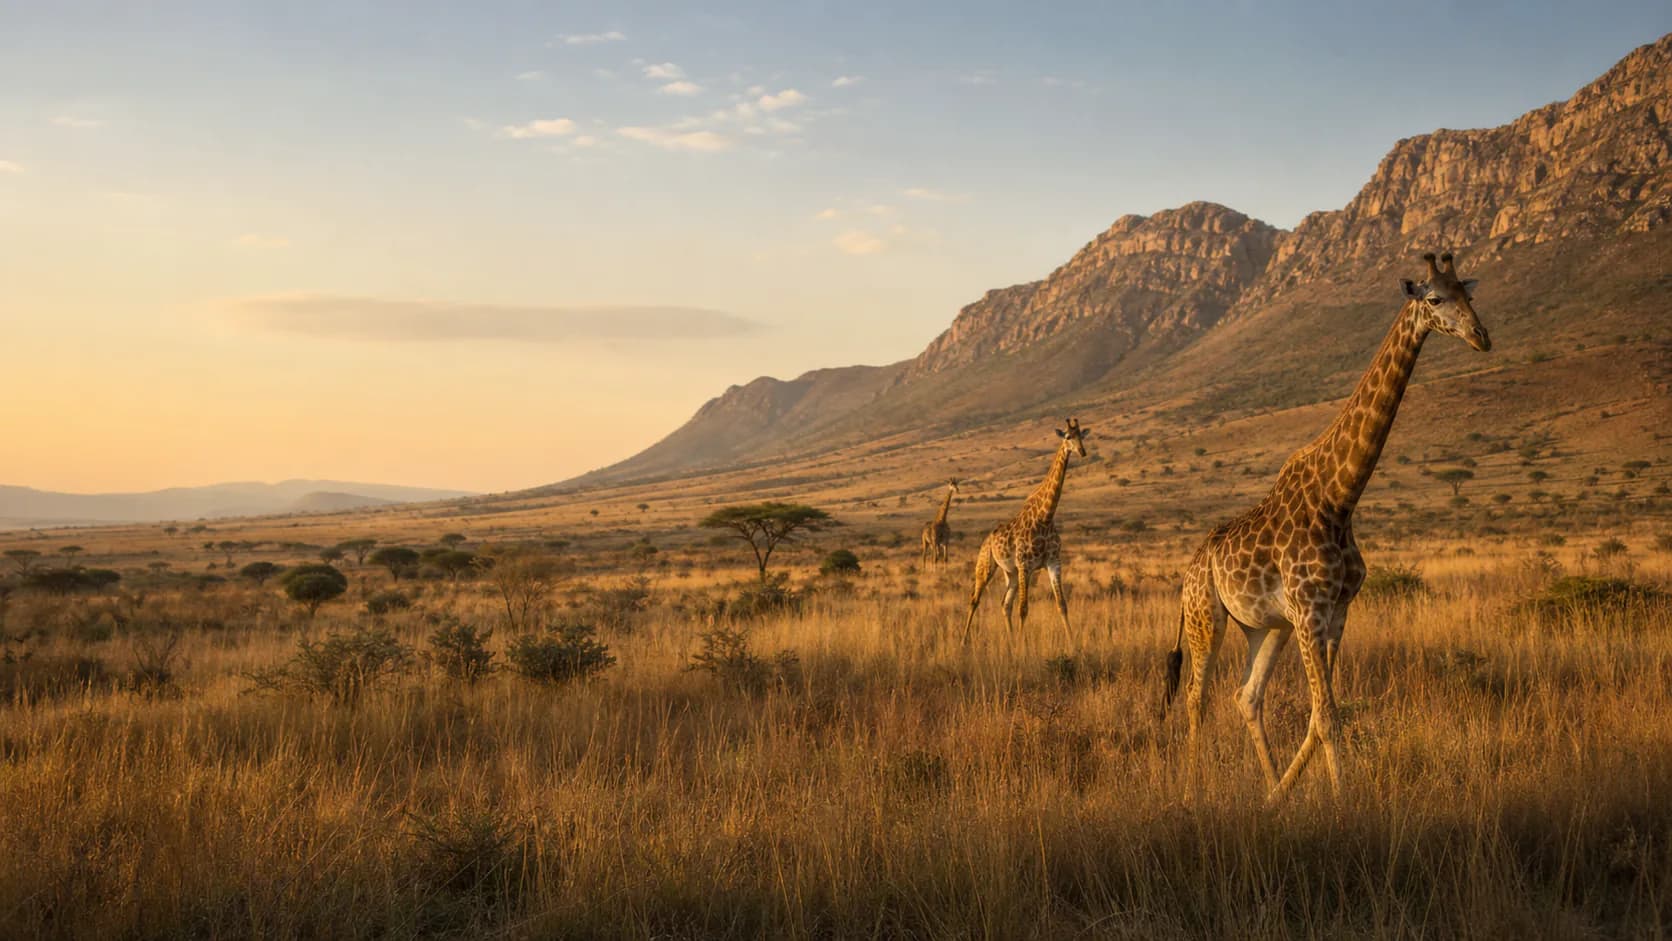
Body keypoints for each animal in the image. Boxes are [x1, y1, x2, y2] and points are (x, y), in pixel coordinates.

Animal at [962, 418, 1090, 646]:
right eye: (1068, 437)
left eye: (1081, 436)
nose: (1082, 452)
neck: (1045, 517)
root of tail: (986, 539)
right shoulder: (1025, 565)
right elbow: (1024, 609)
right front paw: (1024, 648)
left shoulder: (1053, 562)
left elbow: (1062, 605)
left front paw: (1073, 645)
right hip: (986, 565)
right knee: (974, 600)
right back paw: (963, 642)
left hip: (1010, 572)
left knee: (1005, 603)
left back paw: (1011, 643)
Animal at [1159, 252, 1491, 803]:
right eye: (1434, 298)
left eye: (1469, 292)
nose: (1481, 336)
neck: (1339, 499)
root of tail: (1190, 567)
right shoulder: (1309, 610)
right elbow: (1328, 717)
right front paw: (1342, 802)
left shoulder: (1335, 611)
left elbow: (1320, 717)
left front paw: (1292, 794)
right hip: (1207, 617)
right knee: (1195, 698)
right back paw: (1190, 789)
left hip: (1266, 627)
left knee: (1246, 696)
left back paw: (1269, 788)